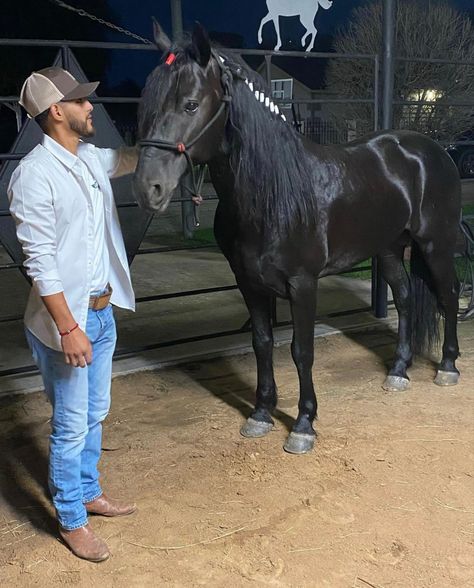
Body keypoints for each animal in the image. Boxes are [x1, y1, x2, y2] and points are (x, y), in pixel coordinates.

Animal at [132, 24, 460, 454]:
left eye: (190, 104)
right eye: (148, 103)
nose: (147, 188)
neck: (270, 192)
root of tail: (433, 150)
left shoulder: (303, 284)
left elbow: (301, 351)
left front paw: (304, 424)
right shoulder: (249, 284)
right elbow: (262, 343)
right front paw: (260, 414)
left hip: (436, 244)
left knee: (448, 296)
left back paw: (448, 367)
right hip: (389, 248)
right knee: (404, 298)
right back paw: (399, 371)